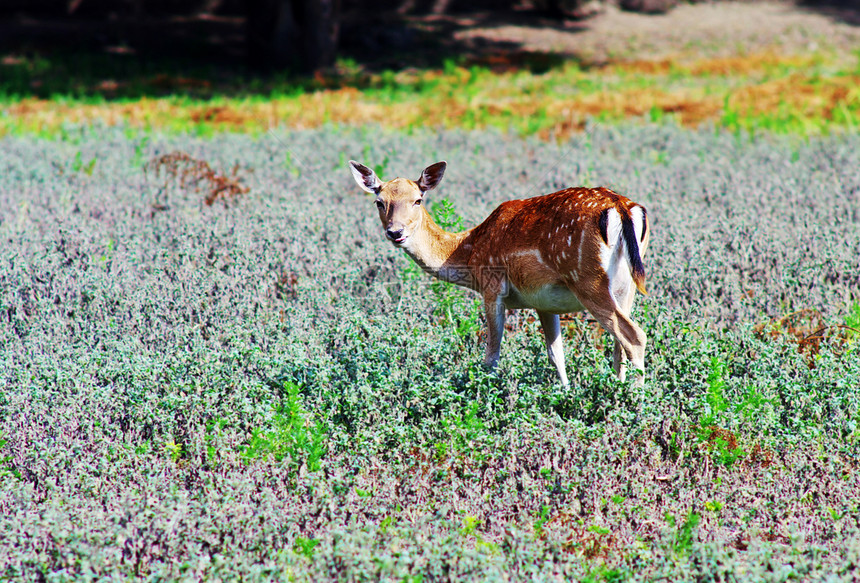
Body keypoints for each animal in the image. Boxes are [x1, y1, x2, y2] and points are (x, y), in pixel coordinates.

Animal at [346, 160, 648, 388]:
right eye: (379, 202)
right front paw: (565, 392)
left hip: (586, 277)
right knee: (619, 343)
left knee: (634, 336)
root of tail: (622, 208)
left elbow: (491, 356)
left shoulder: (492, 287)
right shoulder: (544, 302)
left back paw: (636, 398)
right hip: (628, 284)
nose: (395, 232)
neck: (468, 252)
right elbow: (556, 354)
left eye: (418, 200)